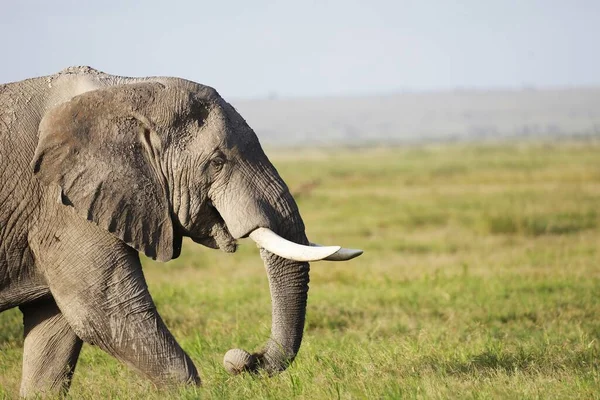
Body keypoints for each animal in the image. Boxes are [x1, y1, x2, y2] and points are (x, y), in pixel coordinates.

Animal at [0, 67, 360, 398]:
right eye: (217, 162)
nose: (244, 359)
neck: (125, 90)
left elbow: (56, 334)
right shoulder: (59, 204)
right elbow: (104, 315)